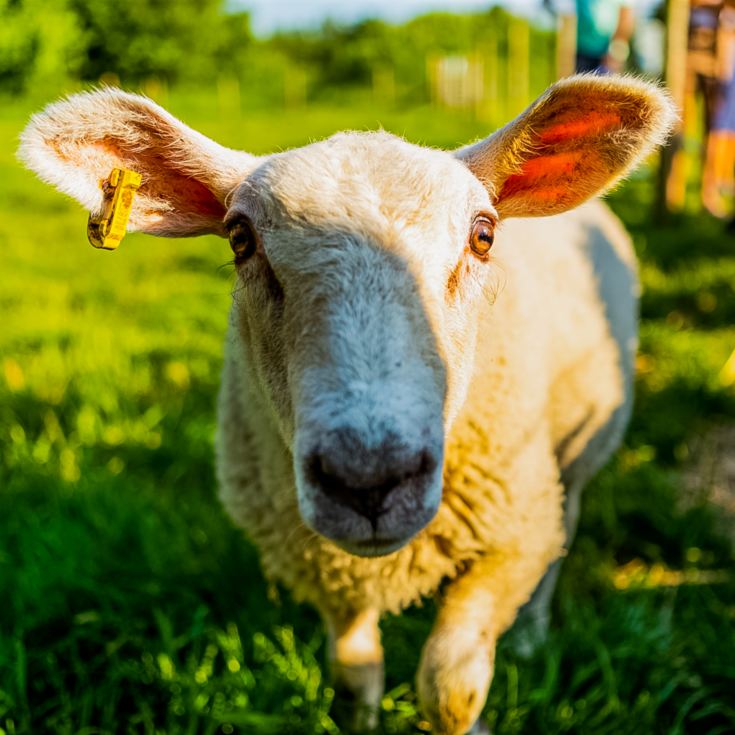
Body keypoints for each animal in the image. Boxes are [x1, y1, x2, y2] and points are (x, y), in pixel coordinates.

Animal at [21, 77, 680, 732]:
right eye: (240, 239)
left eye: (483, 235)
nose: (368, 478)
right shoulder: (324, 566)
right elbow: (353, 674)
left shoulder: (509, 537)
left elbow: (450, 688)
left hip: (572, 459)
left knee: (562, 531)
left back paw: (530, 634)